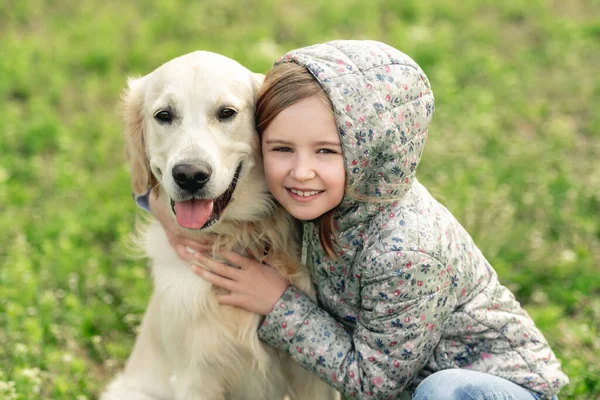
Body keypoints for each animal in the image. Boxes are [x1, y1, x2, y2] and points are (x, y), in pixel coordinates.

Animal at [102, 50, 338, 400]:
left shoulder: (309, 375)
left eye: (226, 113)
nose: (189, 175)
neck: (233, 238)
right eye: (164, 115)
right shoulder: (195, 377)